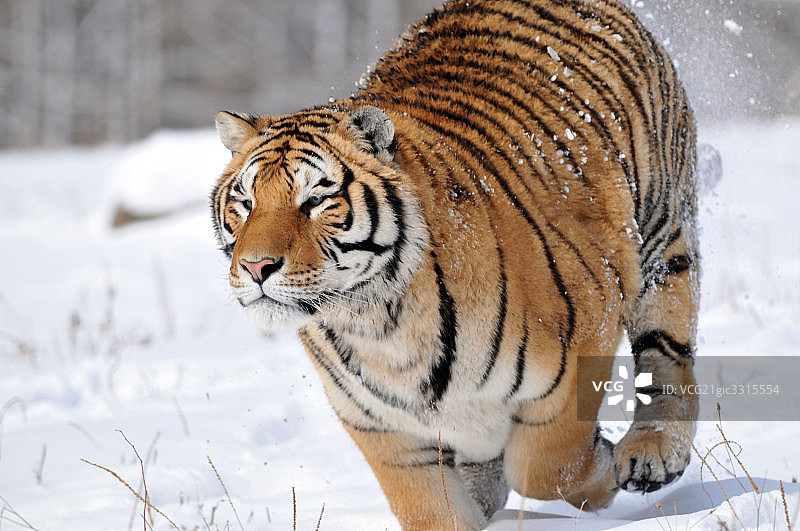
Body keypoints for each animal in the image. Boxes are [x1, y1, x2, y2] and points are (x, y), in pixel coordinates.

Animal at [210, 0, 700, 528]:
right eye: (245, 202)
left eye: (316, 200)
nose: (256, 266)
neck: (379, 326)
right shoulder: (386, 433)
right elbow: (434, 511)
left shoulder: (585, 336)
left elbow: (547, 467)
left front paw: (604, 469)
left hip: (660, 235)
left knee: (668, 351)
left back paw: (651, 455)